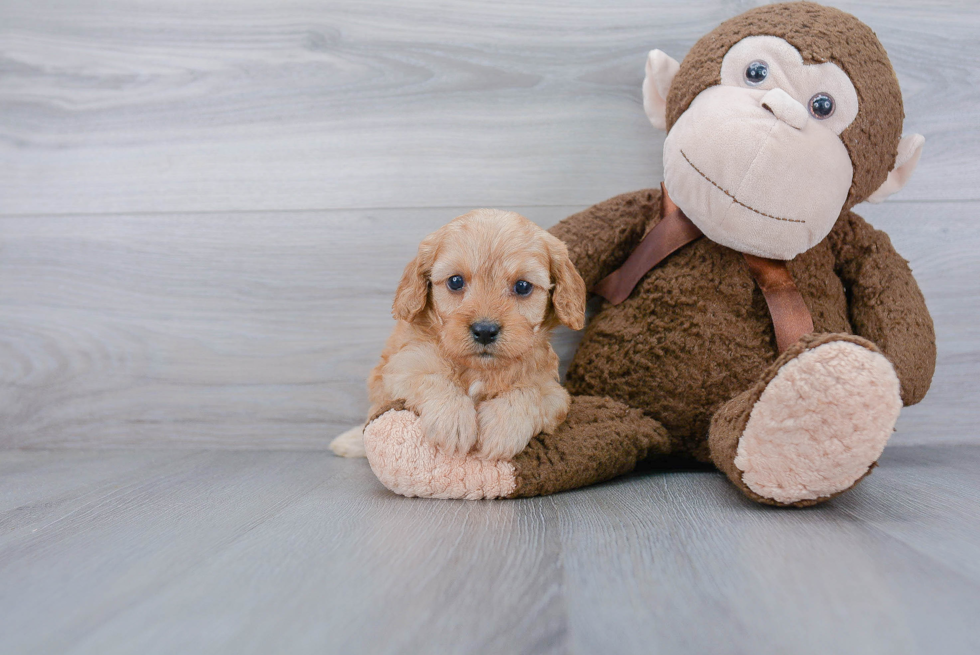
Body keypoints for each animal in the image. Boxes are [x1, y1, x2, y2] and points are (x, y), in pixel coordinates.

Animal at [334, 210, 584, 462]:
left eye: (523, 286)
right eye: (455, 281)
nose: (485, 331)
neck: (478, 370)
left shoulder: (553, 391)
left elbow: (530, 393)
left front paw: (502, 428)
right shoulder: (402, 366)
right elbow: (431, 377)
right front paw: (453, 420)